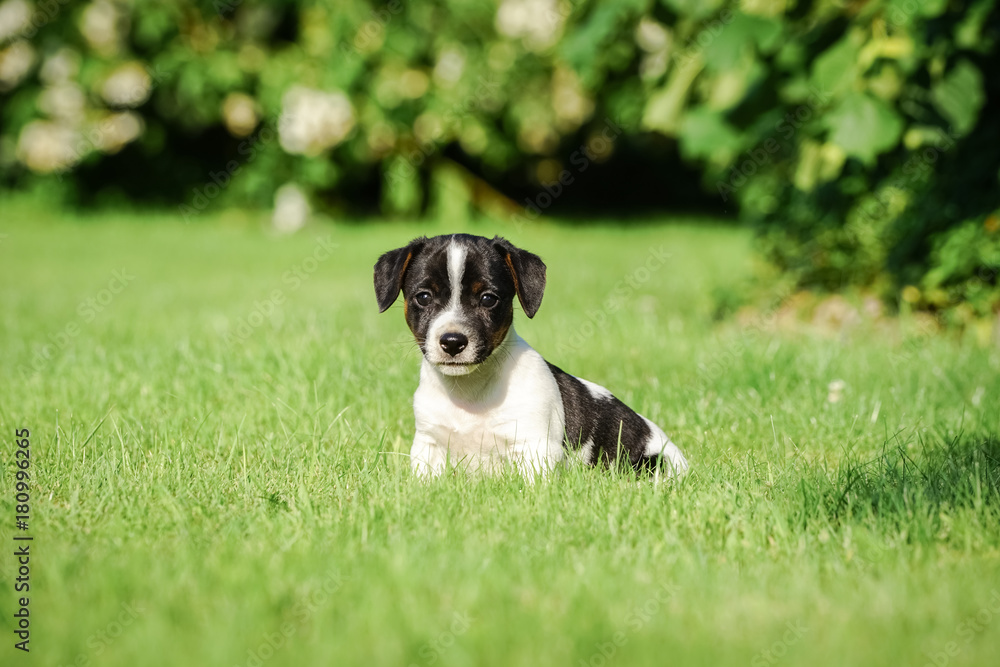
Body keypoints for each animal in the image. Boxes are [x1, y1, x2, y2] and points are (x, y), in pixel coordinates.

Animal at [374, 235, 688, 480]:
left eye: (488, 299)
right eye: (423, 297)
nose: (452, 342)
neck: (470, 392)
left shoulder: (535, 448)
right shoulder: (428, 447)